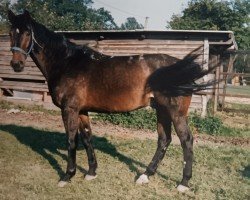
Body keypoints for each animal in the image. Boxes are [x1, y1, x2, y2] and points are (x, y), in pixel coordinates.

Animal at [7, 10, 211, 192]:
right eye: (10, 33)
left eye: (27, 33)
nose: (16, 65)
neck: (67, 63)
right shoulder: (82, 111)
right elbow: (87, 138)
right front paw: (91, 172)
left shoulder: (69, 109)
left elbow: (71, 141)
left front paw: (67, 176)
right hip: (161, 110)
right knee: (164, 140)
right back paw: (145, 175)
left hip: (176, 113)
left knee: (186, 140)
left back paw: (183, 184)